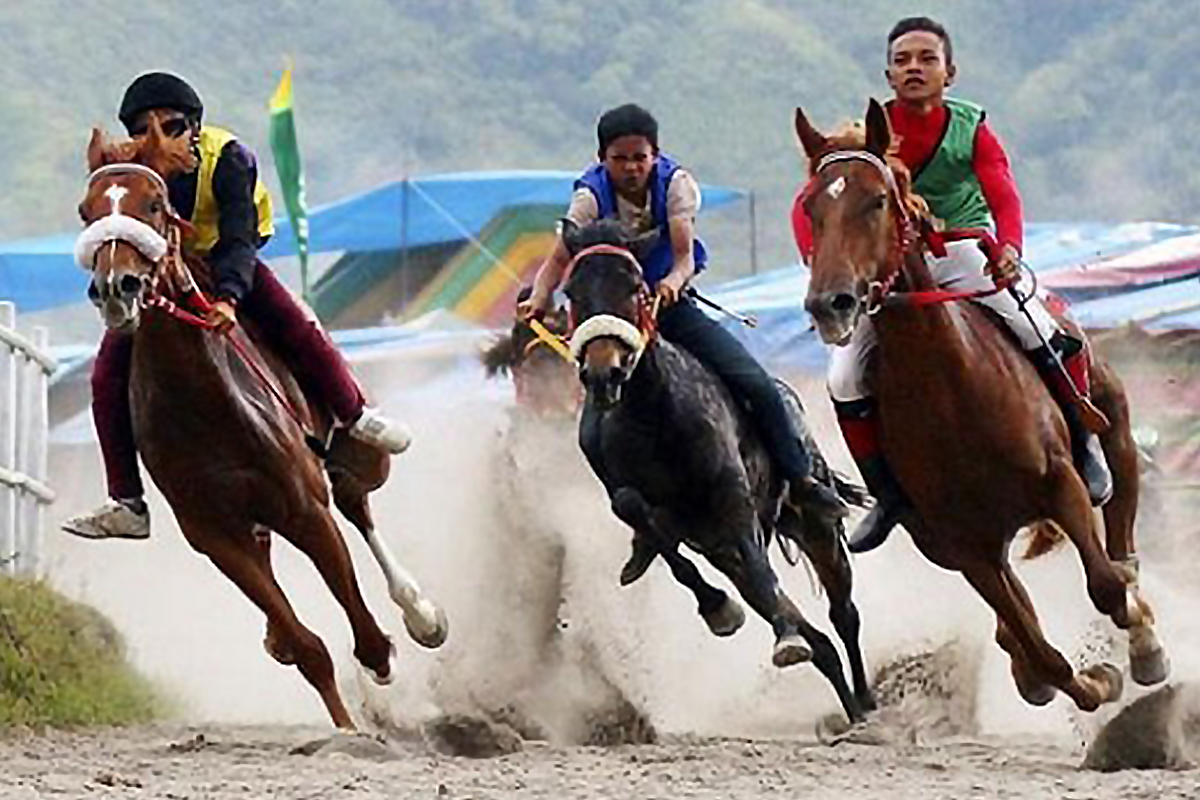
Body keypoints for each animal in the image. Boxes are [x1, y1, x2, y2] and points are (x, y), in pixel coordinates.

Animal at [77, 120, 448, 734]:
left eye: (152, 204)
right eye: (87, 211)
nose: (115, 288)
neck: (204, 405)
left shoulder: (306, 509)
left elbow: (361, 623)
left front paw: (384, 659)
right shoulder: (215, 534)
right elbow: (308, 647)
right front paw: (346, 724)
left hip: (355, 458)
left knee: (359, 505)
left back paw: (421, 611)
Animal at [556, 219, 878, 724]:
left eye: (634, 286)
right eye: (571, 289)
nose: (604, 374)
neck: (655, 415)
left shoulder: (733, 498)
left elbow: (762, 571)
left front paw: (785, 638)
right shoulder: (676, 522)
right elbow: (648, 525)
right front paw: (717, 609)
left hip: (816, 526)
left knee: (842, 613)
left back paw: (865, 704)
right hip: (726, 550)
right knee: (821, 641)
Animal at [792, 101, 1166, 714]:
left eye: (877, 199)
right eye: (811, 207)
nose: (831, 304)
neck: (950, 392)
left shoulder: (1061, 485)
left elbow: (1107, 585)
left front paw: (1136, 642)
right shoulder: (964, 546)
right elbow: (1041, 650)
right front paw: (1085, 681)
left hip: (1115, 433)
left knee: (1122, 541)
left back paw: (1143, 637)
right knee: (1017, 619)